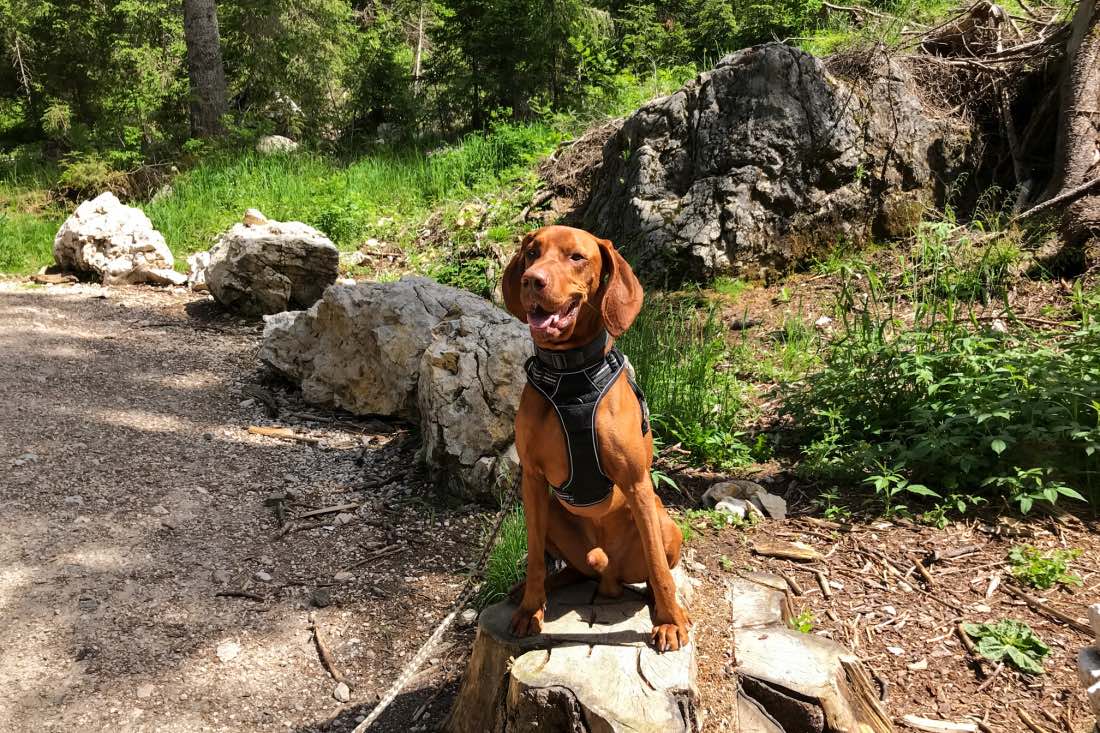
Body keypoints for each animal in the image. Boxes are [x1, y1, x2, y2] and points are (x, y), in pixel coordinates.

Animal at [503, 224, 690, 651]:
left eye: (576, 256)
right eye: (532, 253)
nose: (531, 280)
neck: (570, 376)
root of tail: (610, 577)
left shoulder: (636, 482)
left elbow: (658, 566)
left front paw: (670, 622)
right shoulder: (532, 481)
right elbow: (534, 556)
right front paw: (530, 609)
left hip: (665, 522)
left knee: (655, 569)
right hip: (553, 514)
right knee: (573, 568)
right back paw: (532, 590)